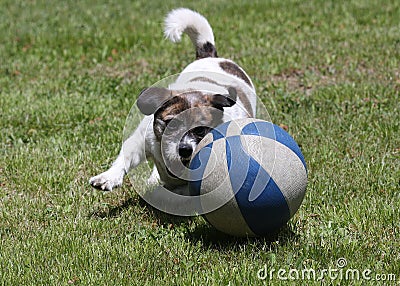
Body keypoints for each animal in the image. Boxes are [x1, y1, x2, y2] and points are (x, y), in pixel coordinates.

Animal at [89, 7, 256, 193]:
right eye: (171, 123)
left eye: (200, 130)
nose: (184, 149)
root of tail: (210, 56)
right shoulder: (142, 139)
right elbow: (127, 155)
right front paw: (108, 177)